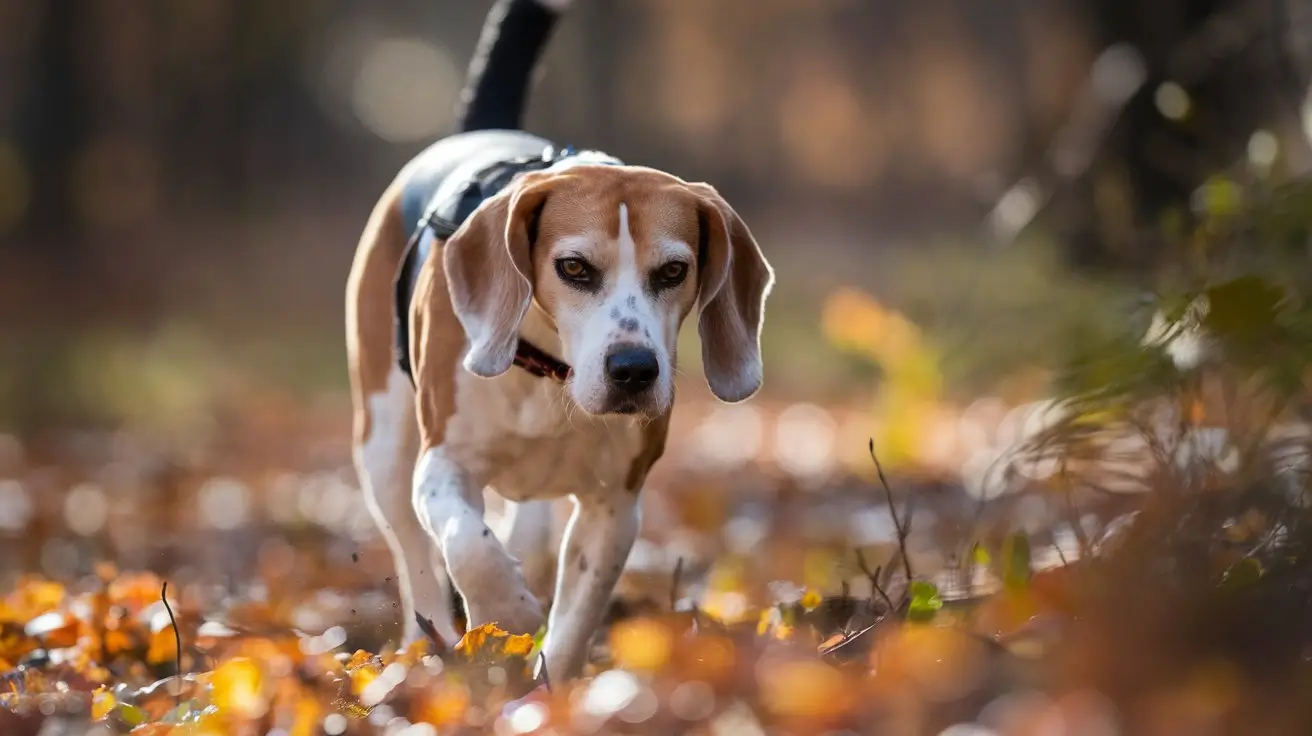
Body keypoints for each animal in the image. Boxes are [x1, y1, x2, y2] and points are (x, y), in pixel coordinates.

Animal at [348, 0, 771, 682]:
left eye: (673, 271)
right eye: (574, 267)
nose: (634, 371)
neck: (550, 374)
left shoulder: (615, 505)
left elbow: (576, 619)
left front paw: (552, 686)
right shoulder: (444, 463)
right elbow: (468, 545)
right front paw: (507, 613)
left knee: (529, 538)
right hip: (384, 447)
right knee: (417, 558)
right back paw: (432, 644)